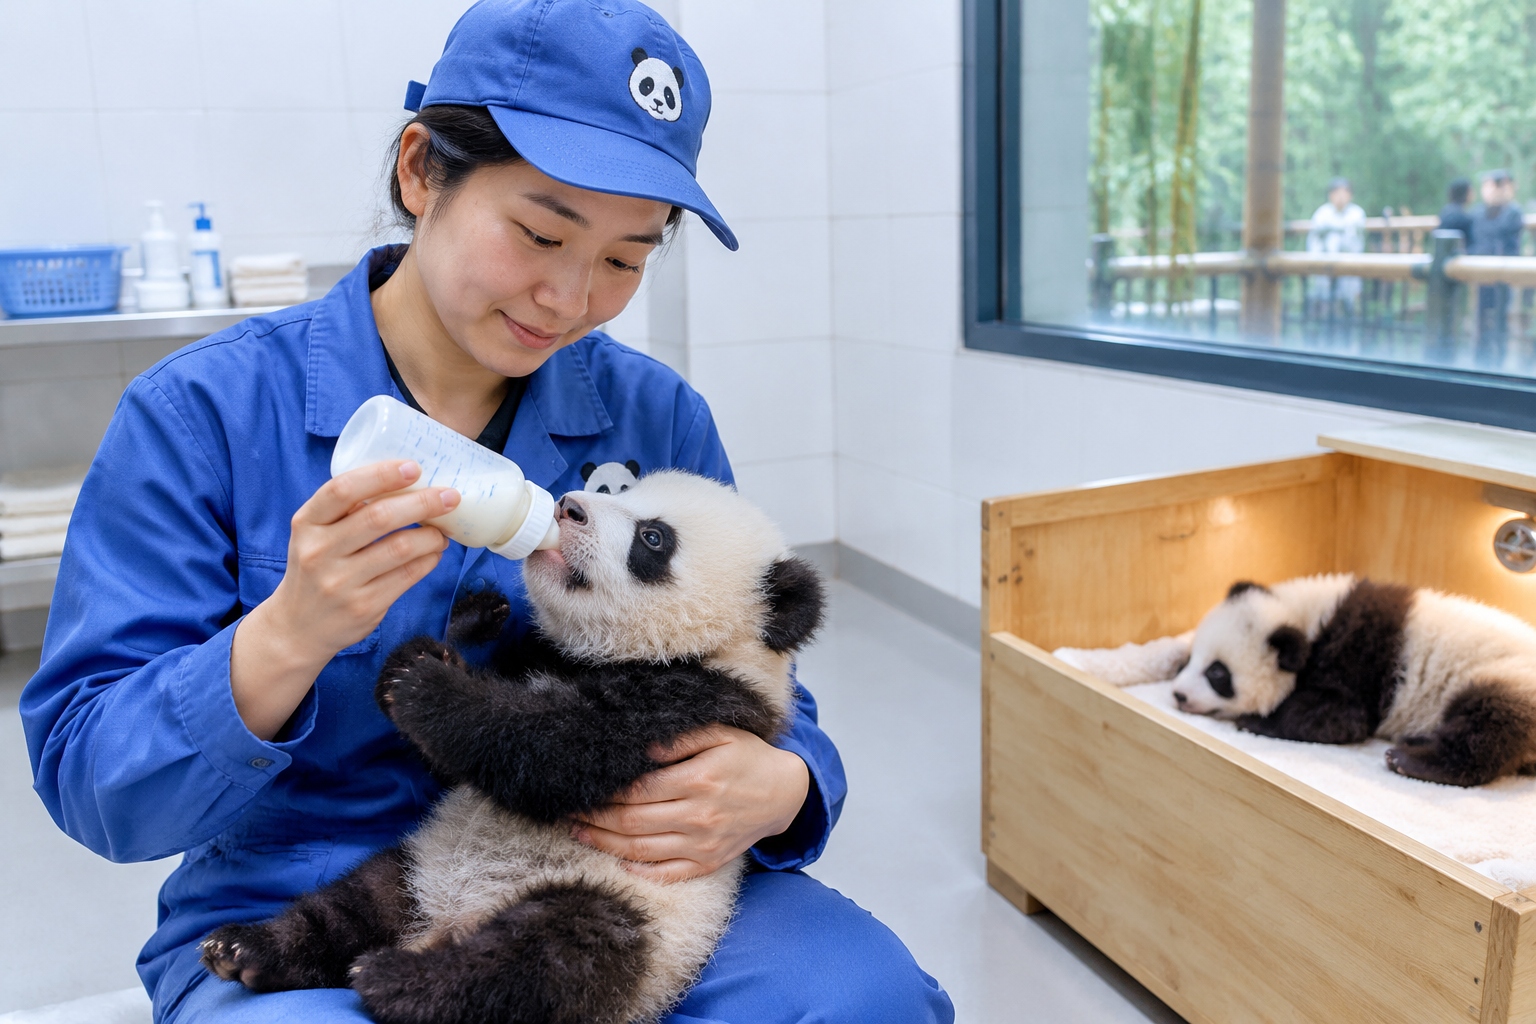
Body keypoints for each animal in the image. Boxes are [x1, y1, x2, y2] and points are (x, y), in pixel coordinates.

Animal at [200, 470, 826, 1024]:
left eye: (653, 539)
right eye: (620, 490)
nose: (568, 507)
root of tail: (448, 924)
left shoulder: (692, 709)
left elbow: (550, 751)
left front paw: (425, 683)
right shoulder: (543, 658)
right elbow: (453, 759)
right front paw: (468, 622)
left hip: (640, 919)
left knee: (548, 959)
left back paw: (398, 981)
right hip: (416, 864)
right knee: (354, 903)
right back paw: (248, 950)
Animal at [1171, 573, 1536, 786]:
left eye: (1217, 674)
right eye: (1191, 658)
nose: (1177, 695)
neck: (1307, 620)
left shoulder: (1354, 662)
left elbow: (1338, 719)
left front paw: (1254, 720)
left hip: (1501, 675)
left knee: (1487, 728)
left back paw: (1409, 759)